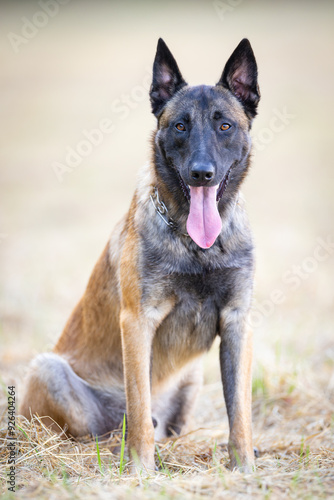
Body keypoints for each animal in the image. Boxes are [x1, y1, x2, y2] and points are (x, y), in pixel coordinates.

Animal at [20, 38, 260, 472]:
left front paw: (244, 468)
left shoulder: (237, 324)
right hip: (50, 370)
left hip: (192, 376)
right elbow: (140, 404)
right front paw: (141, 472)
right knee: (115, 424)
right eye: (180, 125)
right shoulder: (137, 322)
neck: (194, 245)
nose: (202, 173)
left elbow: (240, 412)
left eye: (225, 126)